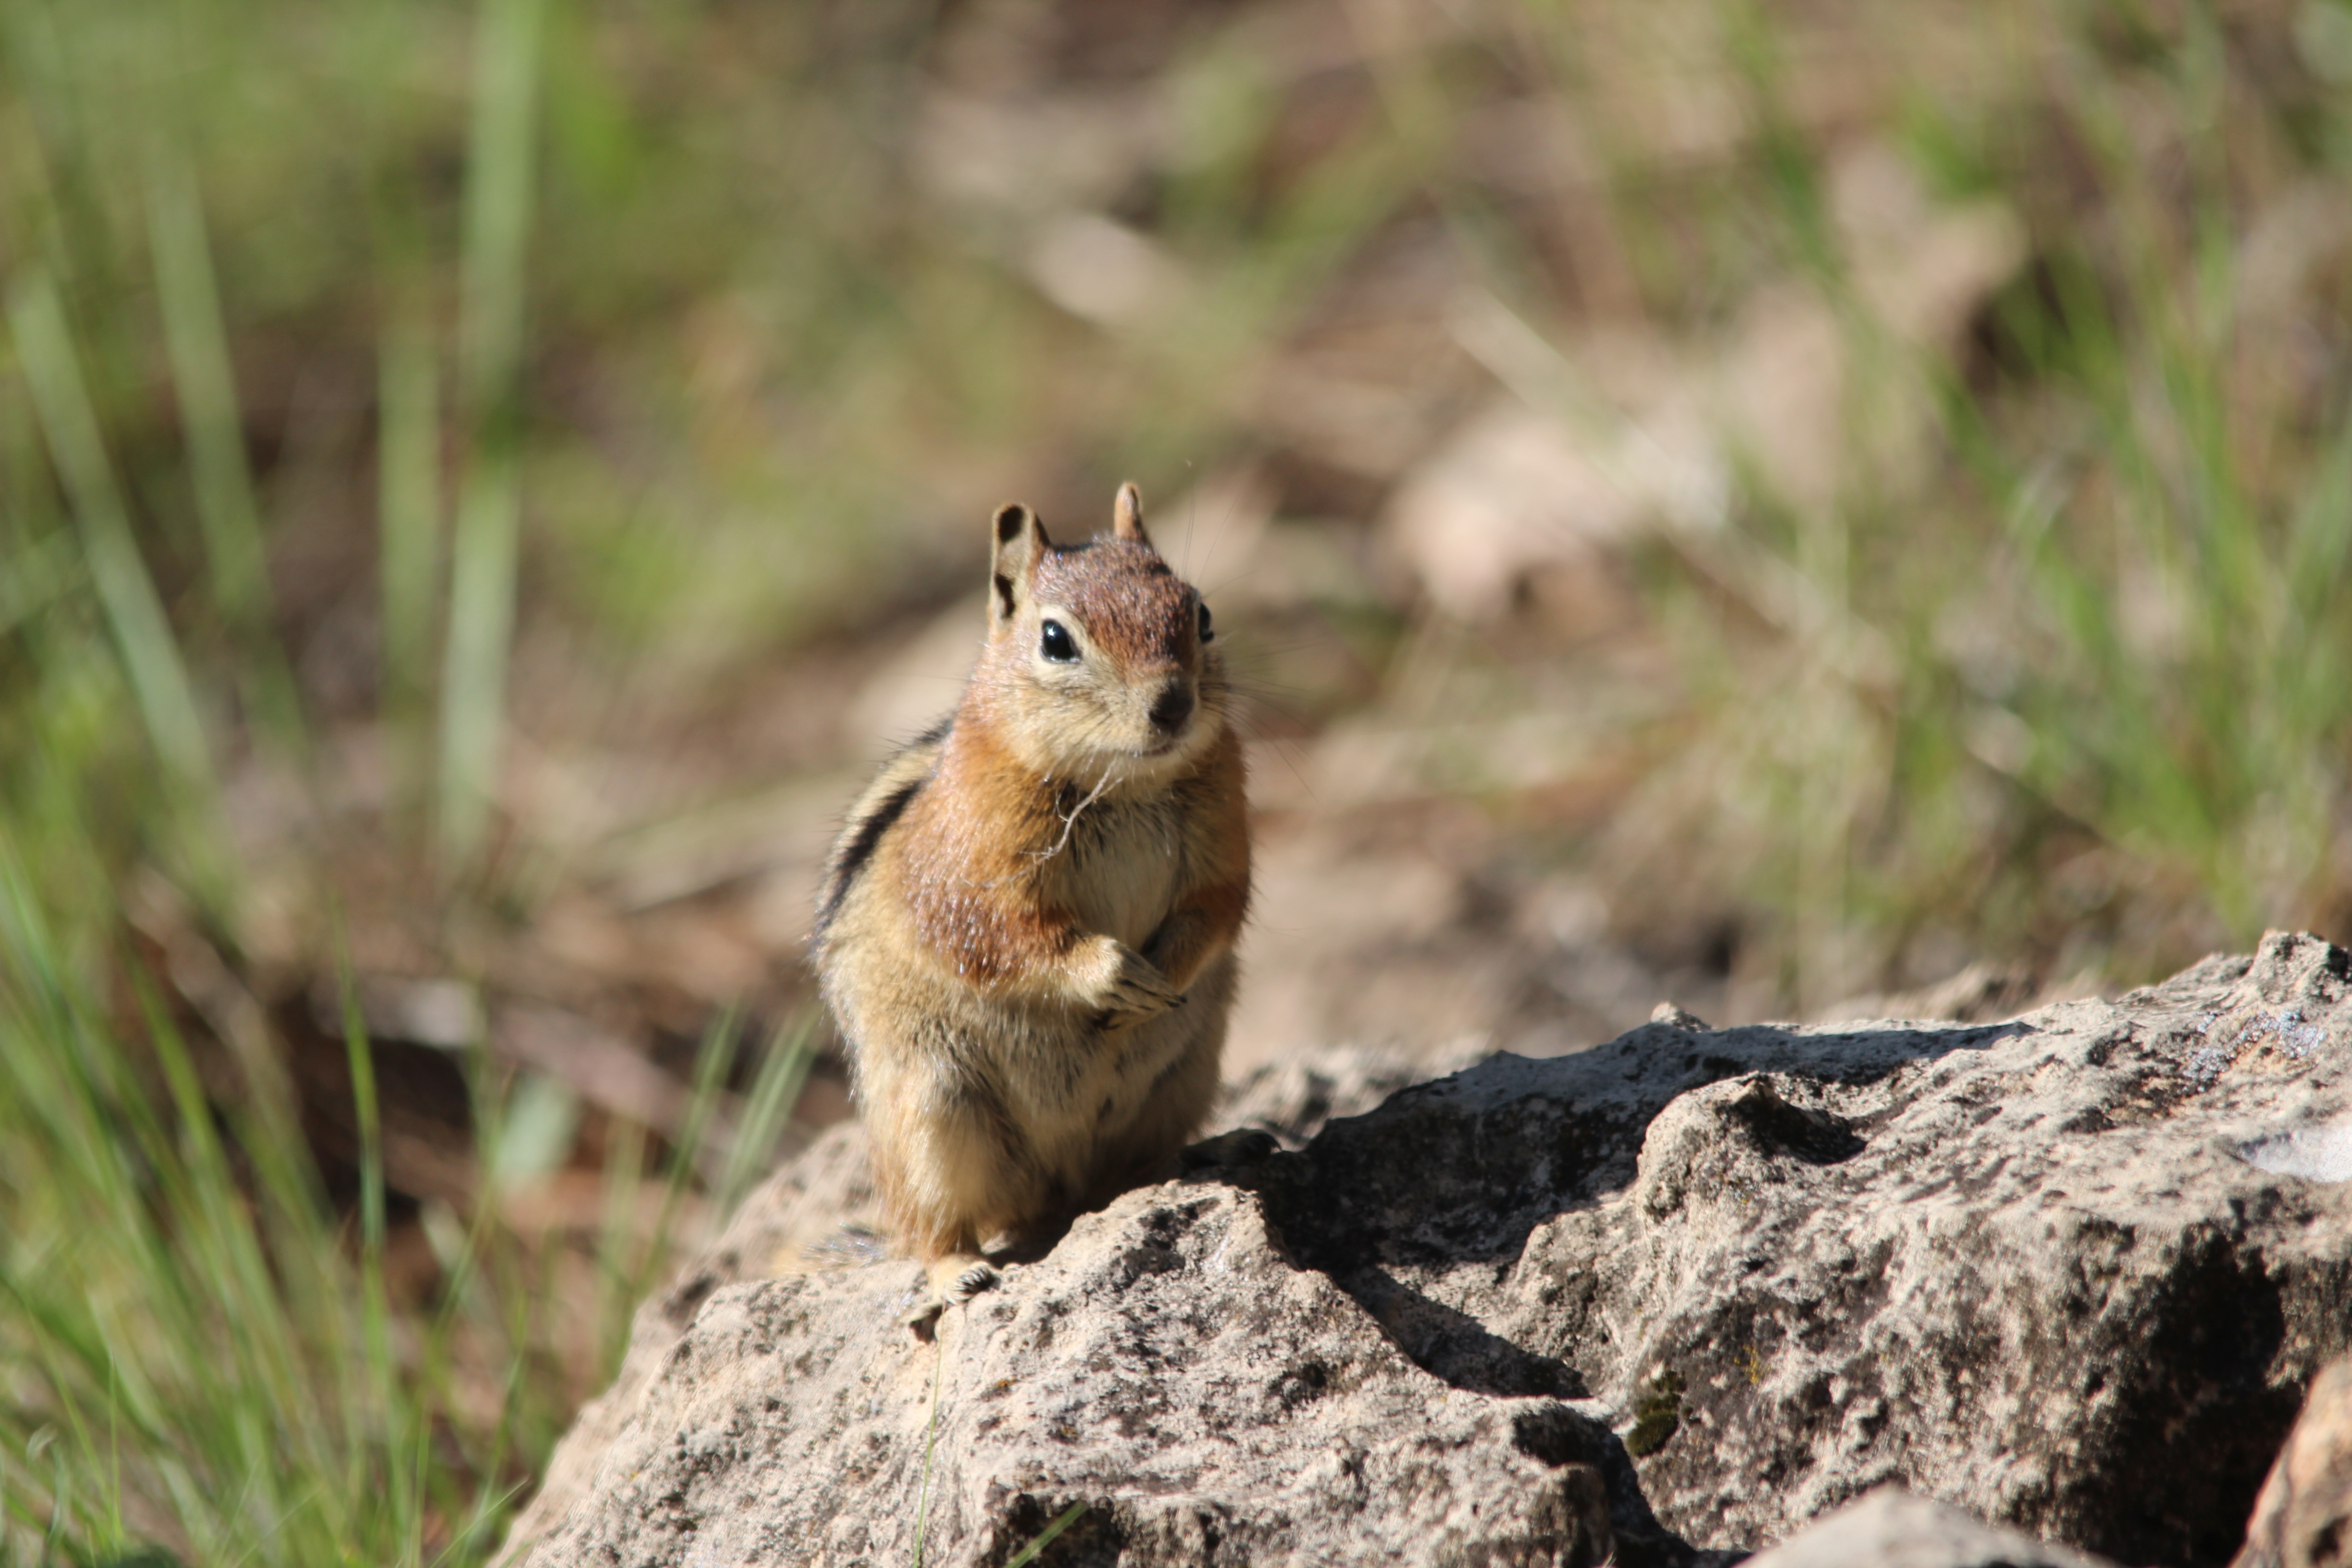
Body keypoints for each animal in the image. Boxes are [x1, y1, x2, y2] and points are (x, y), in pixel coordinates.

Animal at [813, 482, 1251, 1326]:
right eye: (1055, 640)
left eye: (1202, 614)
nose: (1172, 705)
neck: (1123, 781)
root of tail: (1056, 1188)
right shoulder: (968, 868)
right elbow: (1004, 938)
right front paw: (1110, 973)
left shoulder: (1225, 835)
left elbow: (1217, 908)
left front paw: (1161, 976)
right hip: (932, 1110)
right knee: (934, 1227)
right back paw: (957, 1274)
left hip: (1185, 1073)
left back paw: (1196, 1157)